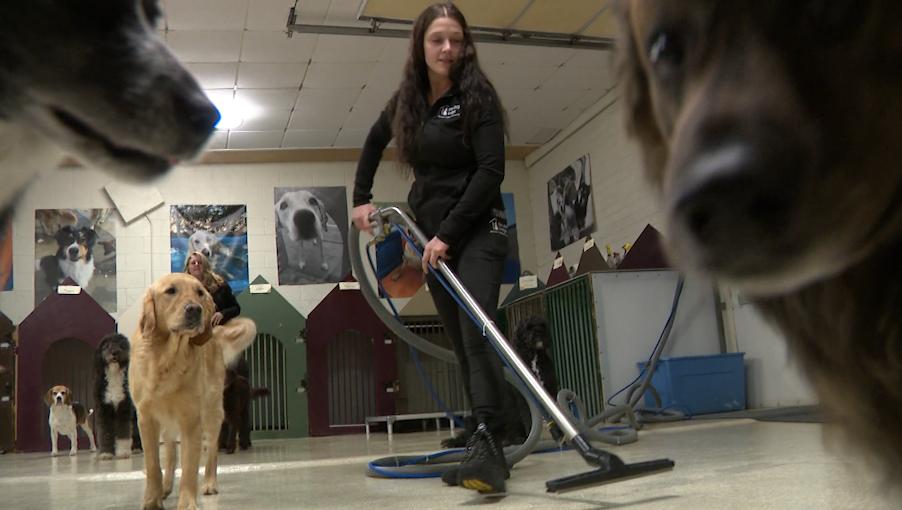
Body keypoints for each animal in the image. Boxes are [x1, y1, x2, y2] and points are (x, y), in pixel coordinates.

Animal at [94, 332, 141, 460]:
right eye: (107, 345)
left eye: (121, 345)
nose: (114, 352)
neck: (114, 375)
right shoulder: (104, 409)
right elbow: (105, 433)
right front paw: (106, 453)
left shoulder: (124, 408)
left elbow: (123, 431)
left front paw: (123, 452)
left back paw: (137, 448)